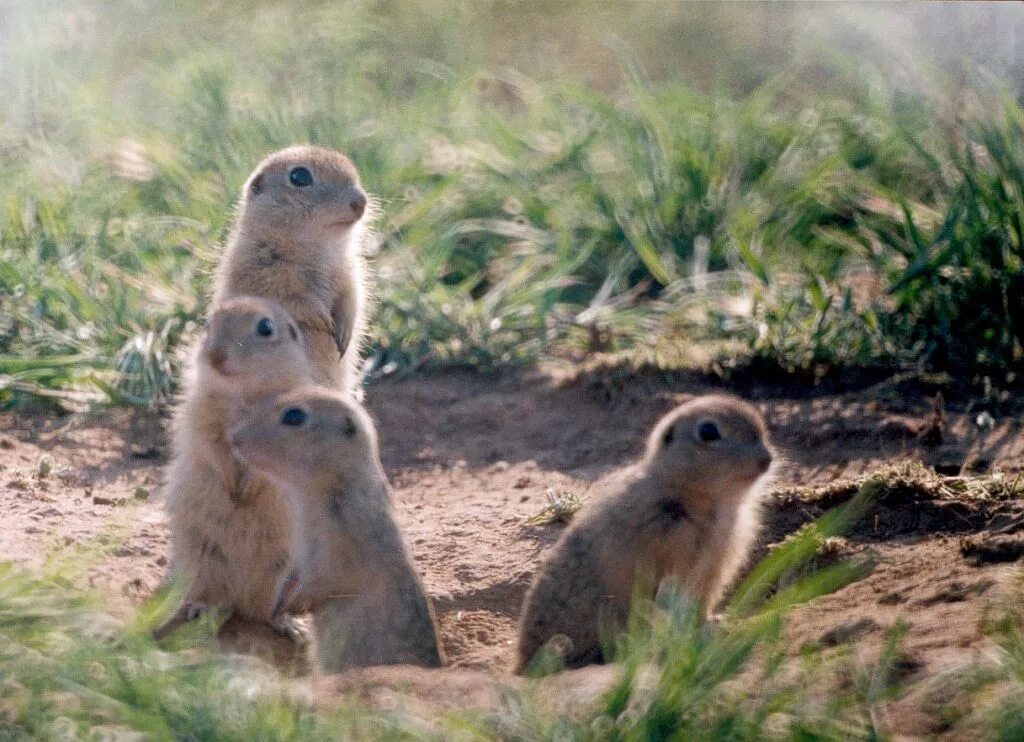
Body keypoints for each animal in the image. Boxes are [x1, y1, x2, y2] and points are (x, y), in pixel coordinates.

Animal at [155, 294, 313, 638]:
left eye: (265, 327)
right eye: (207, 324)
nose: (215, 356)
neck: (244, 392)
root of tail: (239, 597)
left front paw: (245, 491)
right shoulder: (203, 415)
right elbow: (211, 445)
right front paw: (232, 488)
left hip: (281, 566)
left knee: (264, 609)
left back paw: (291, 625)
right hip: (202, 558)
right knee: (211, 595)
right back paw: (200, 611)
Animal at [209, 147, 370, 397]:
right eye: (299, 176)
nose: (361, 202)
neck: (319, 245)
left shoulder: (350, 271)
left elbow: (352, 296)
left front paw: (343, 332)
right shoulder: (259, 271)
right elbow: (291, 297)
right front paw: (322, 319)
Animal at [231, 386, 444, 671]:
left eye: (294, 415)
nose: (234, 438)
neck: (312, 495)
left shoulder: (347, 541)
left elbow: (331, 577)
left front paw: (294, 605)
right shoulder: (300, 545)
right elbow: (293, 572)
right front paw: (278, 605)